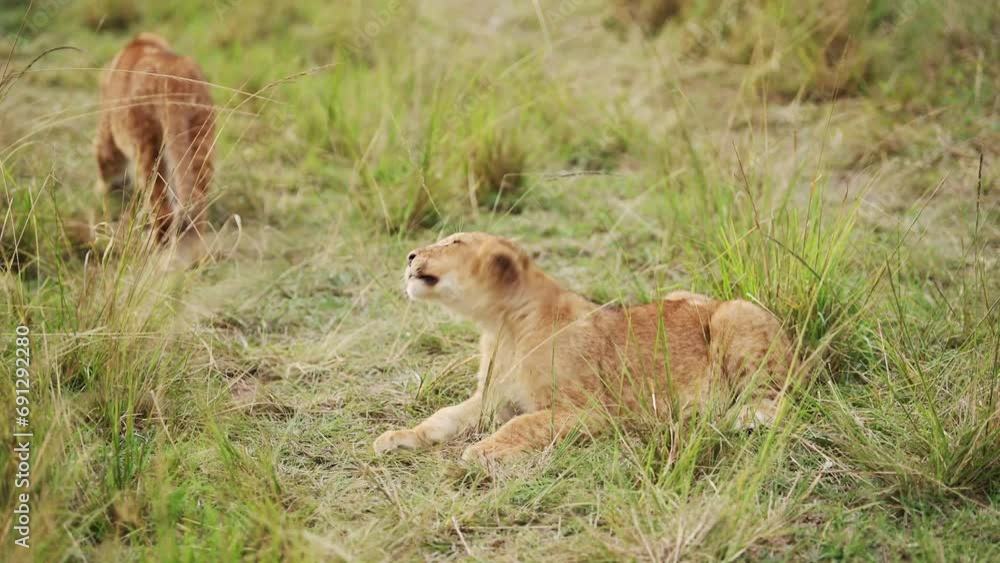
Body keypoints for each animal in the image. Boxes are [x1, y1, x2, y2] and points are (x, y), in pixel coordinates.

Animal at [95, 33, 214, 244]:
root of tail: (174, 83)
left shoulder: (108, 131)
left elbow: (104, 163)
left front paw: (102, 191)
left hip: (148, 145)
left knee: (162, 208)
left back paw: (151, 243)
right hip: (201, 137)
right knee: (198, 203)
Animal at [373, 232, 797, 465]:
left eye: (455, 242)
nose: (410, 255)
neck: (503, 326)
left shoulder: (591, 411)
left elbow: (522, 423)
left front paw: (481, 451)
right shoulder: (491, 399)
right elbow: (443, 416)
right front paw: (398, 438)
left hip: (737, 315)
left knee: (776, 402)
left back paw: (716, 417)